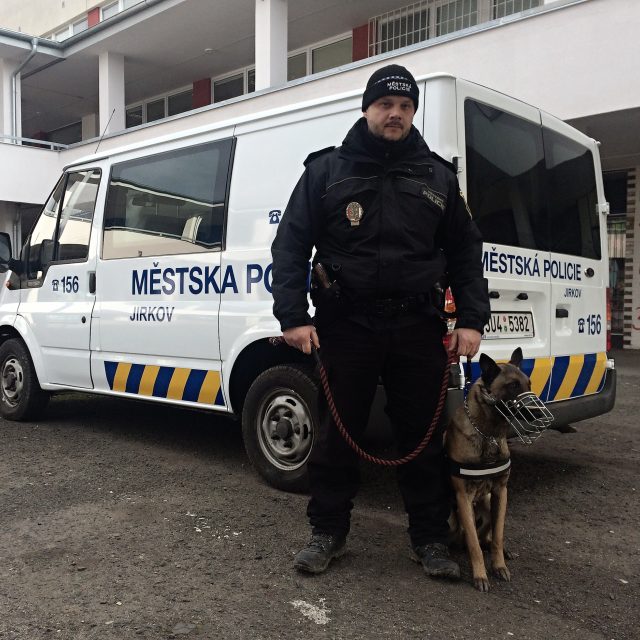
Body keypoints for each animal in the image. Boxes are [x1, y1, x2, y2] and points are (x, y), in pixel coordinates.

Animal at [445, 347, 537, 592]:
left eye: (529, 383)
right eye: (513, 386)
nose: (537, 412)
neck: (489, 435)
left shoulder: (500, 493)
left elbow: (498, 535)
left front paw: (499, 565)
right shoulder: (463, 497)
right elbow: (473, 545)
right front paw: (480, 575)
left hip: (487, 505)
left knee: (487, 536)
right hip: (452, 515)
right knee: (464, 537)